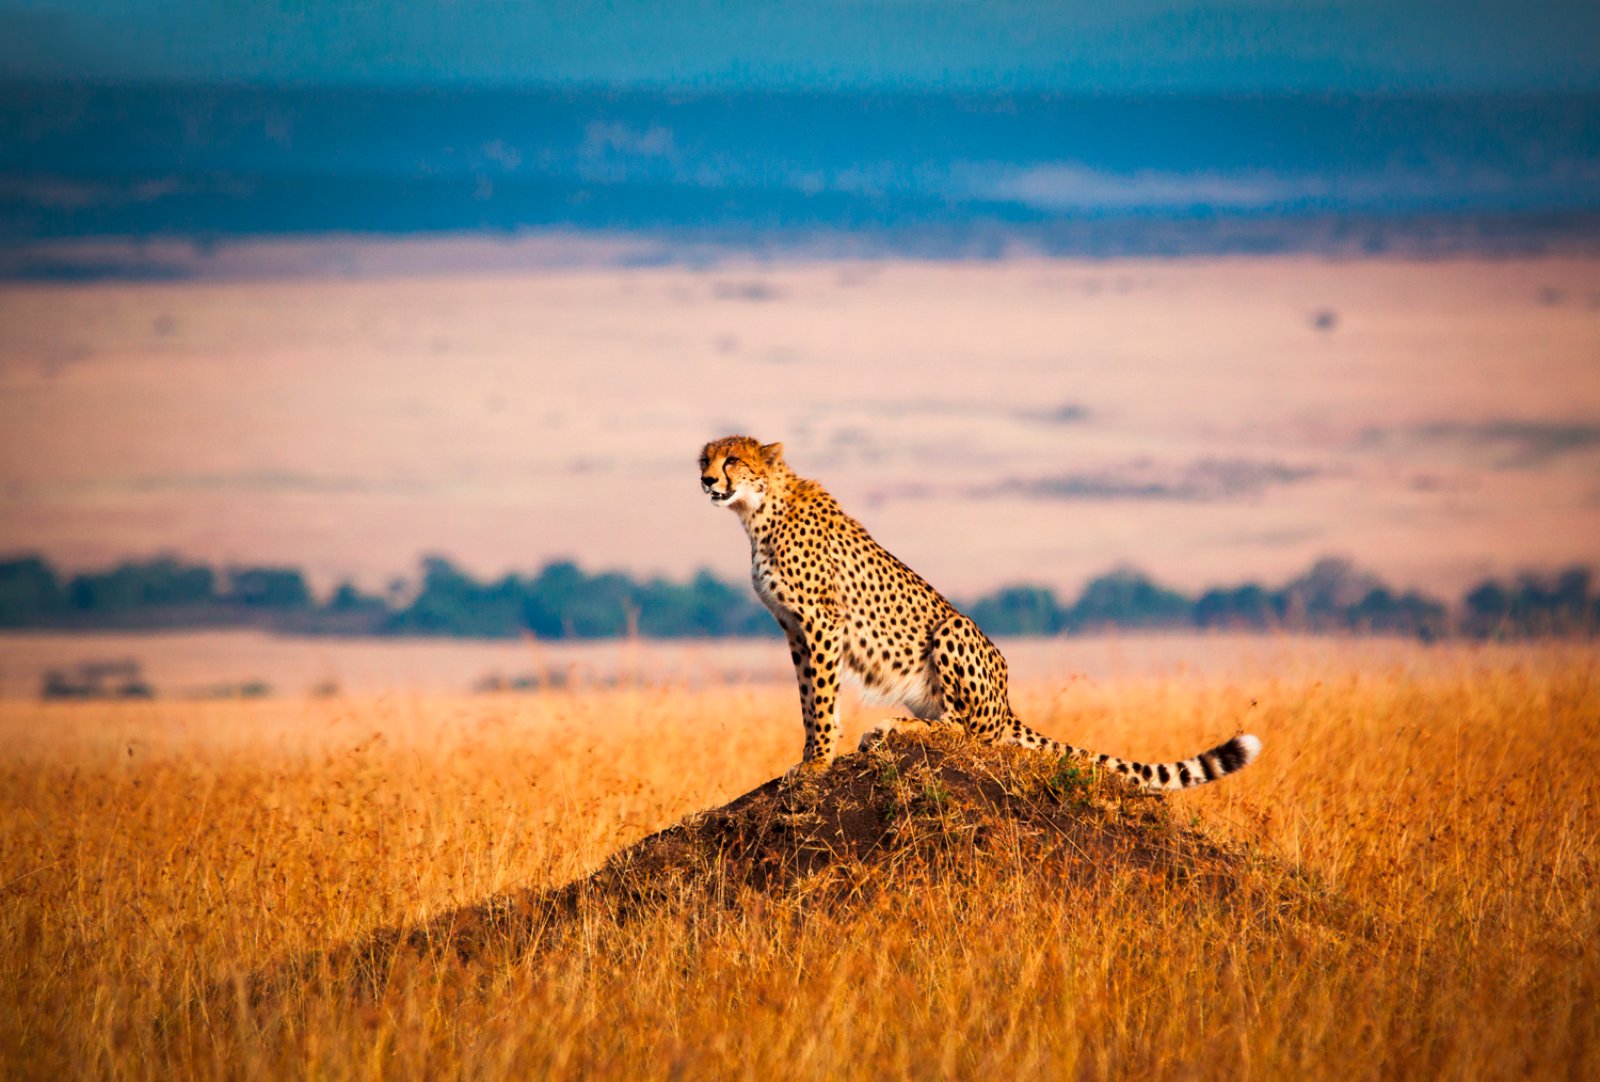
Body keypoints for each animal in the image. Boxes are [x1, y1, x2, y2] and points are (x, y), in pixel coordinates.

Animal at [700, 435, 1260, 790]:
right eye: (704, 459)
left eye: (733, 460)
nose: (707, 481)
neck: (758, 510)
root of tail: (1007, 702)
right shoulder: (793, 629)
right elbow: (808, 699)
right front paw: (810, 756)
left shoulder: (820, 621)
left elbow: (820, 699)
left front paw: (816, 763)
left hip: (954, 628)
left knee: (969, 730)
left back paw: (894, 727)